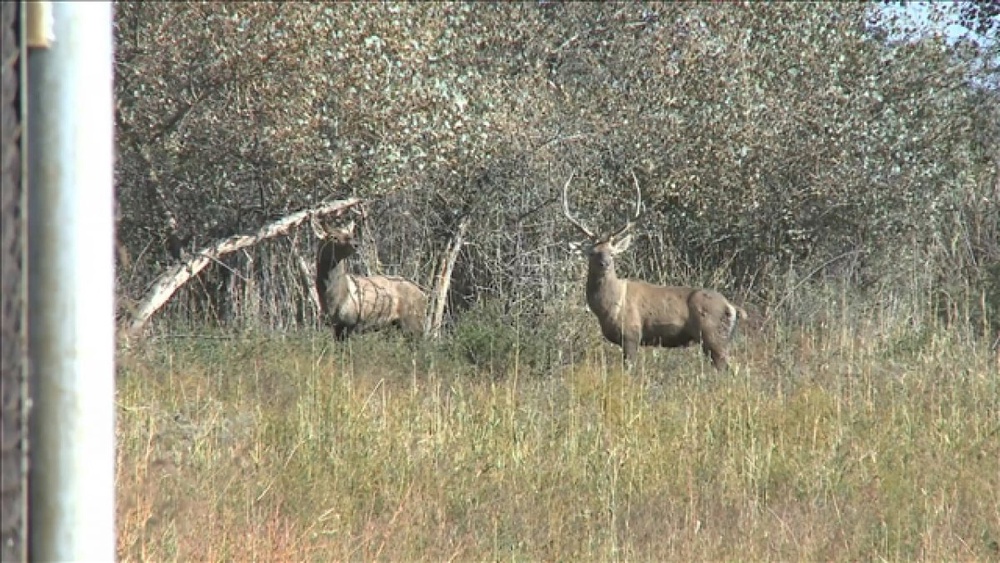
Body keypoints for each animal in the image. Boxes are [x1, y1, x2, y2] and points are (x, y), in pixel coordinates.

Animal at [560, 174, 748, 372]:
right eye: (592, 253)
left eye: (612, 253)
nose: (605, 264)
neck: (610, 306)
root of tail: (731, 307)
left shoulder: (632, 334)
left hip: (713, 336)